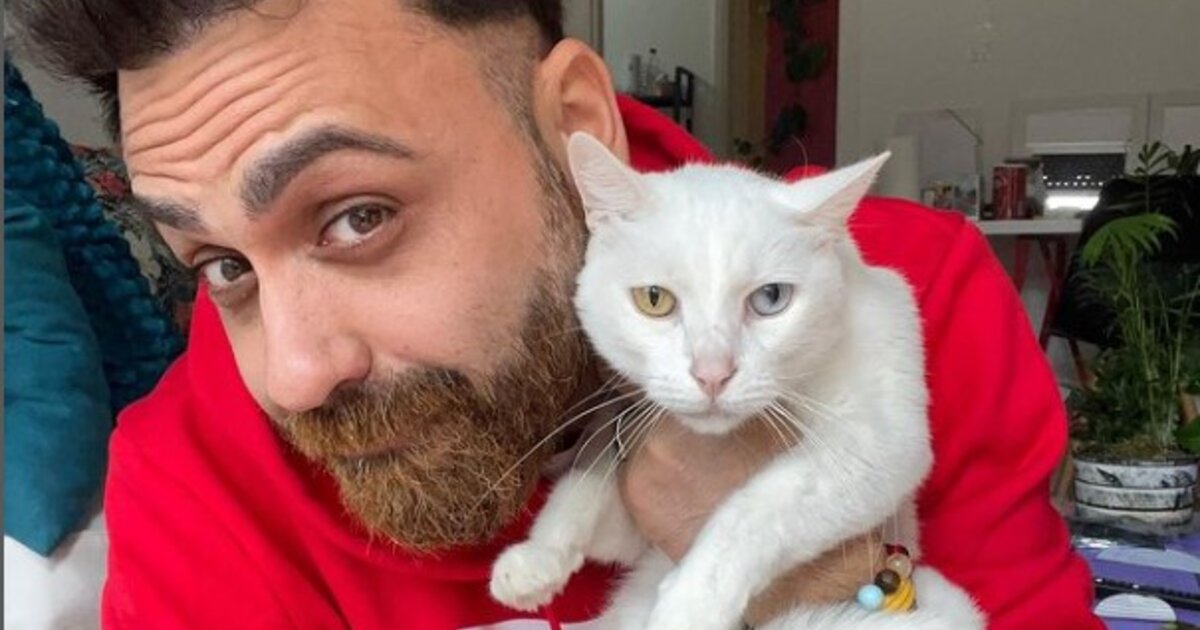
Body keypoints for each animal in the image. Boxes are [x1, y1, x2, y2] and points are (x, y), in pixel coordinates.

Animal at [488, 132, 985, 630]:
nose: (712, 373)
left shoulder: (879, 438)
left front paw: (692, 601)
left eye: (771, 298)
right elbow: (587, 479)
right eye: (654, 299)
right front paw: (540, 555)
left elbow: (757, 510)